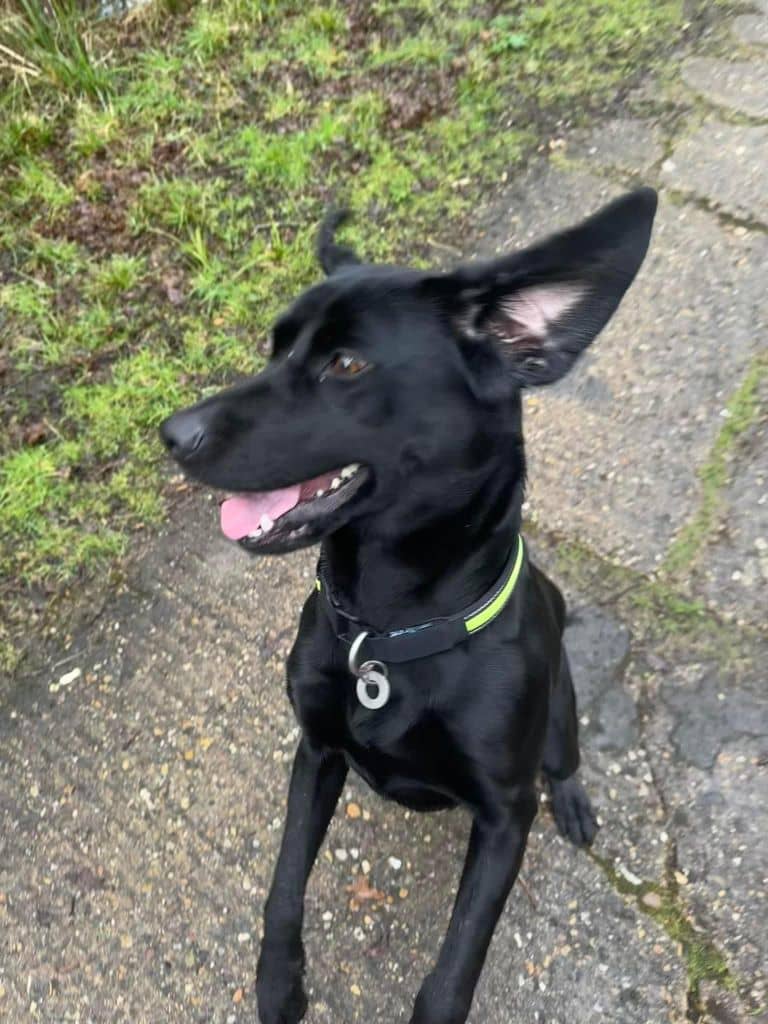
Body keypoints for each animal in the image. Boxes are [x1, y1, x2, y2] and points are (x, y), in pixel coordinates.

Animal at [160, 188, 655, 1019]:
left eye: (346, 363)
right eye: (275, 349)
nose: (170, 433)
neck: (389, 634)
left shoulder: (504, 818)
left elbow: (454, 972)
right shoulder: (316, 752)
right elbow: (284, 887)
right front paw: (279, 982)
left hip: (558, 716)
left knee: (565, 760)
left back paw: (576, 802)